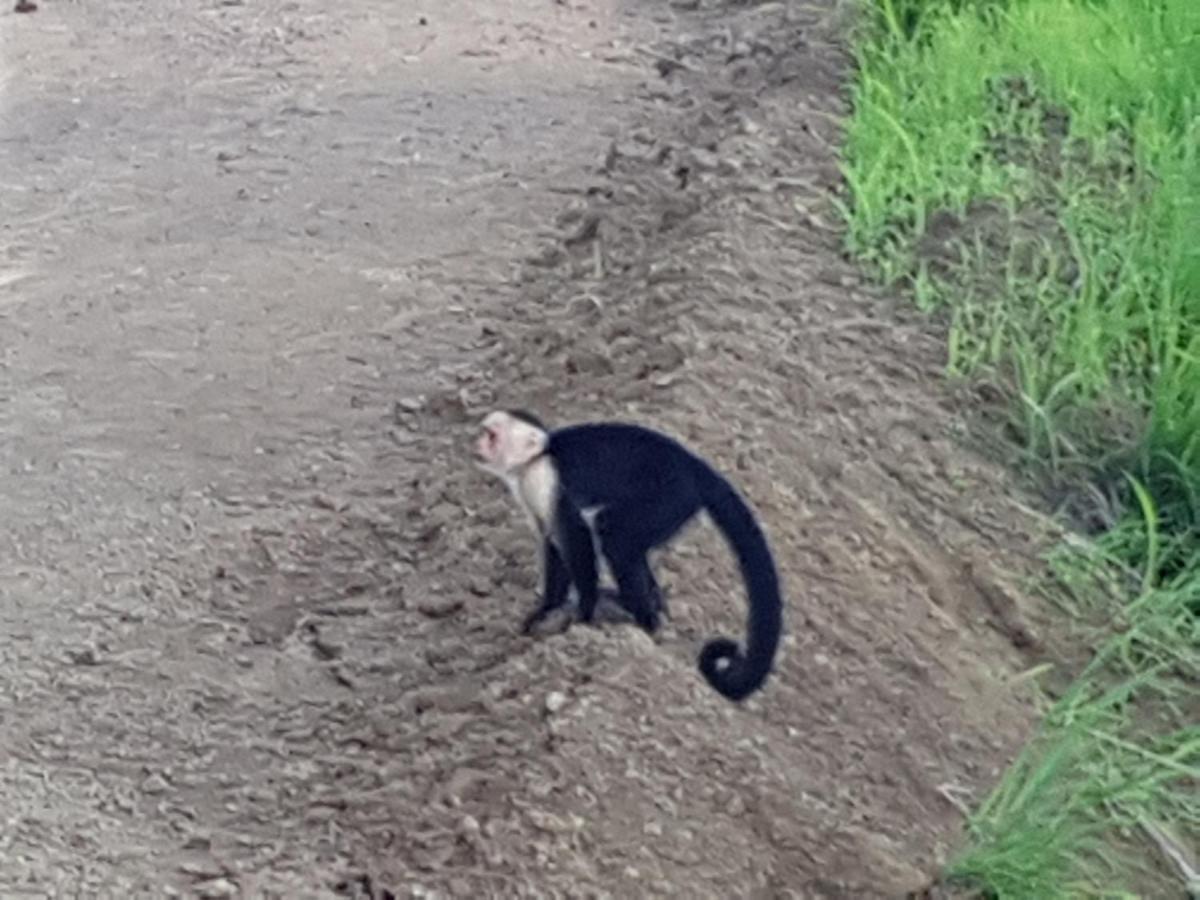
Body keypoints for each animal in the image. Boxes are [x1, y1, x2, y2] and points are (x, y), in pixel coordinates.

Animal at [472, 408, 782, 705]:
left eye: (491, 435)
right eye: (484, 432)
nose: (476, 444)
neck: (538, 457)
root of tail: (693, 464)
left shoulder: (545, 479)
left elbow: (575, 536)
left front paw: (583, 616)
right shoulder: (529, 489)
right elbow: (552, 543)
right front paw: (546, 609)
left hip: (671, 495)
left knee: (614, 536)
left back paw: (644, 621)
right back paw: (649, 607)